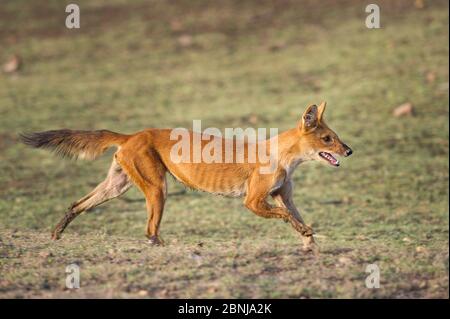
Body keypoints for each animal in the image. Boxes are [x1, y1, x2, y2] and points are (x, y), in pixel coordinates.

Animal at [20, 102, 352, 252]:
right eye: (327, 139)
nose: (349, 150)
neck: (283, 157)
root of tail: (132, 134)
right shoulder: (253, 201)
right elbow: (286, 216)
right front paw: (307, 234)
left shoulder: (282, 196)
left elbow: (295, 216)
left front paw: (310, 240)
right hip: (158, 188)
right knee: (149, 230)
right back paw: (162, 246)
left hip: (117, 186)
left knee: (76, 204)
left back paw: (57, 234)